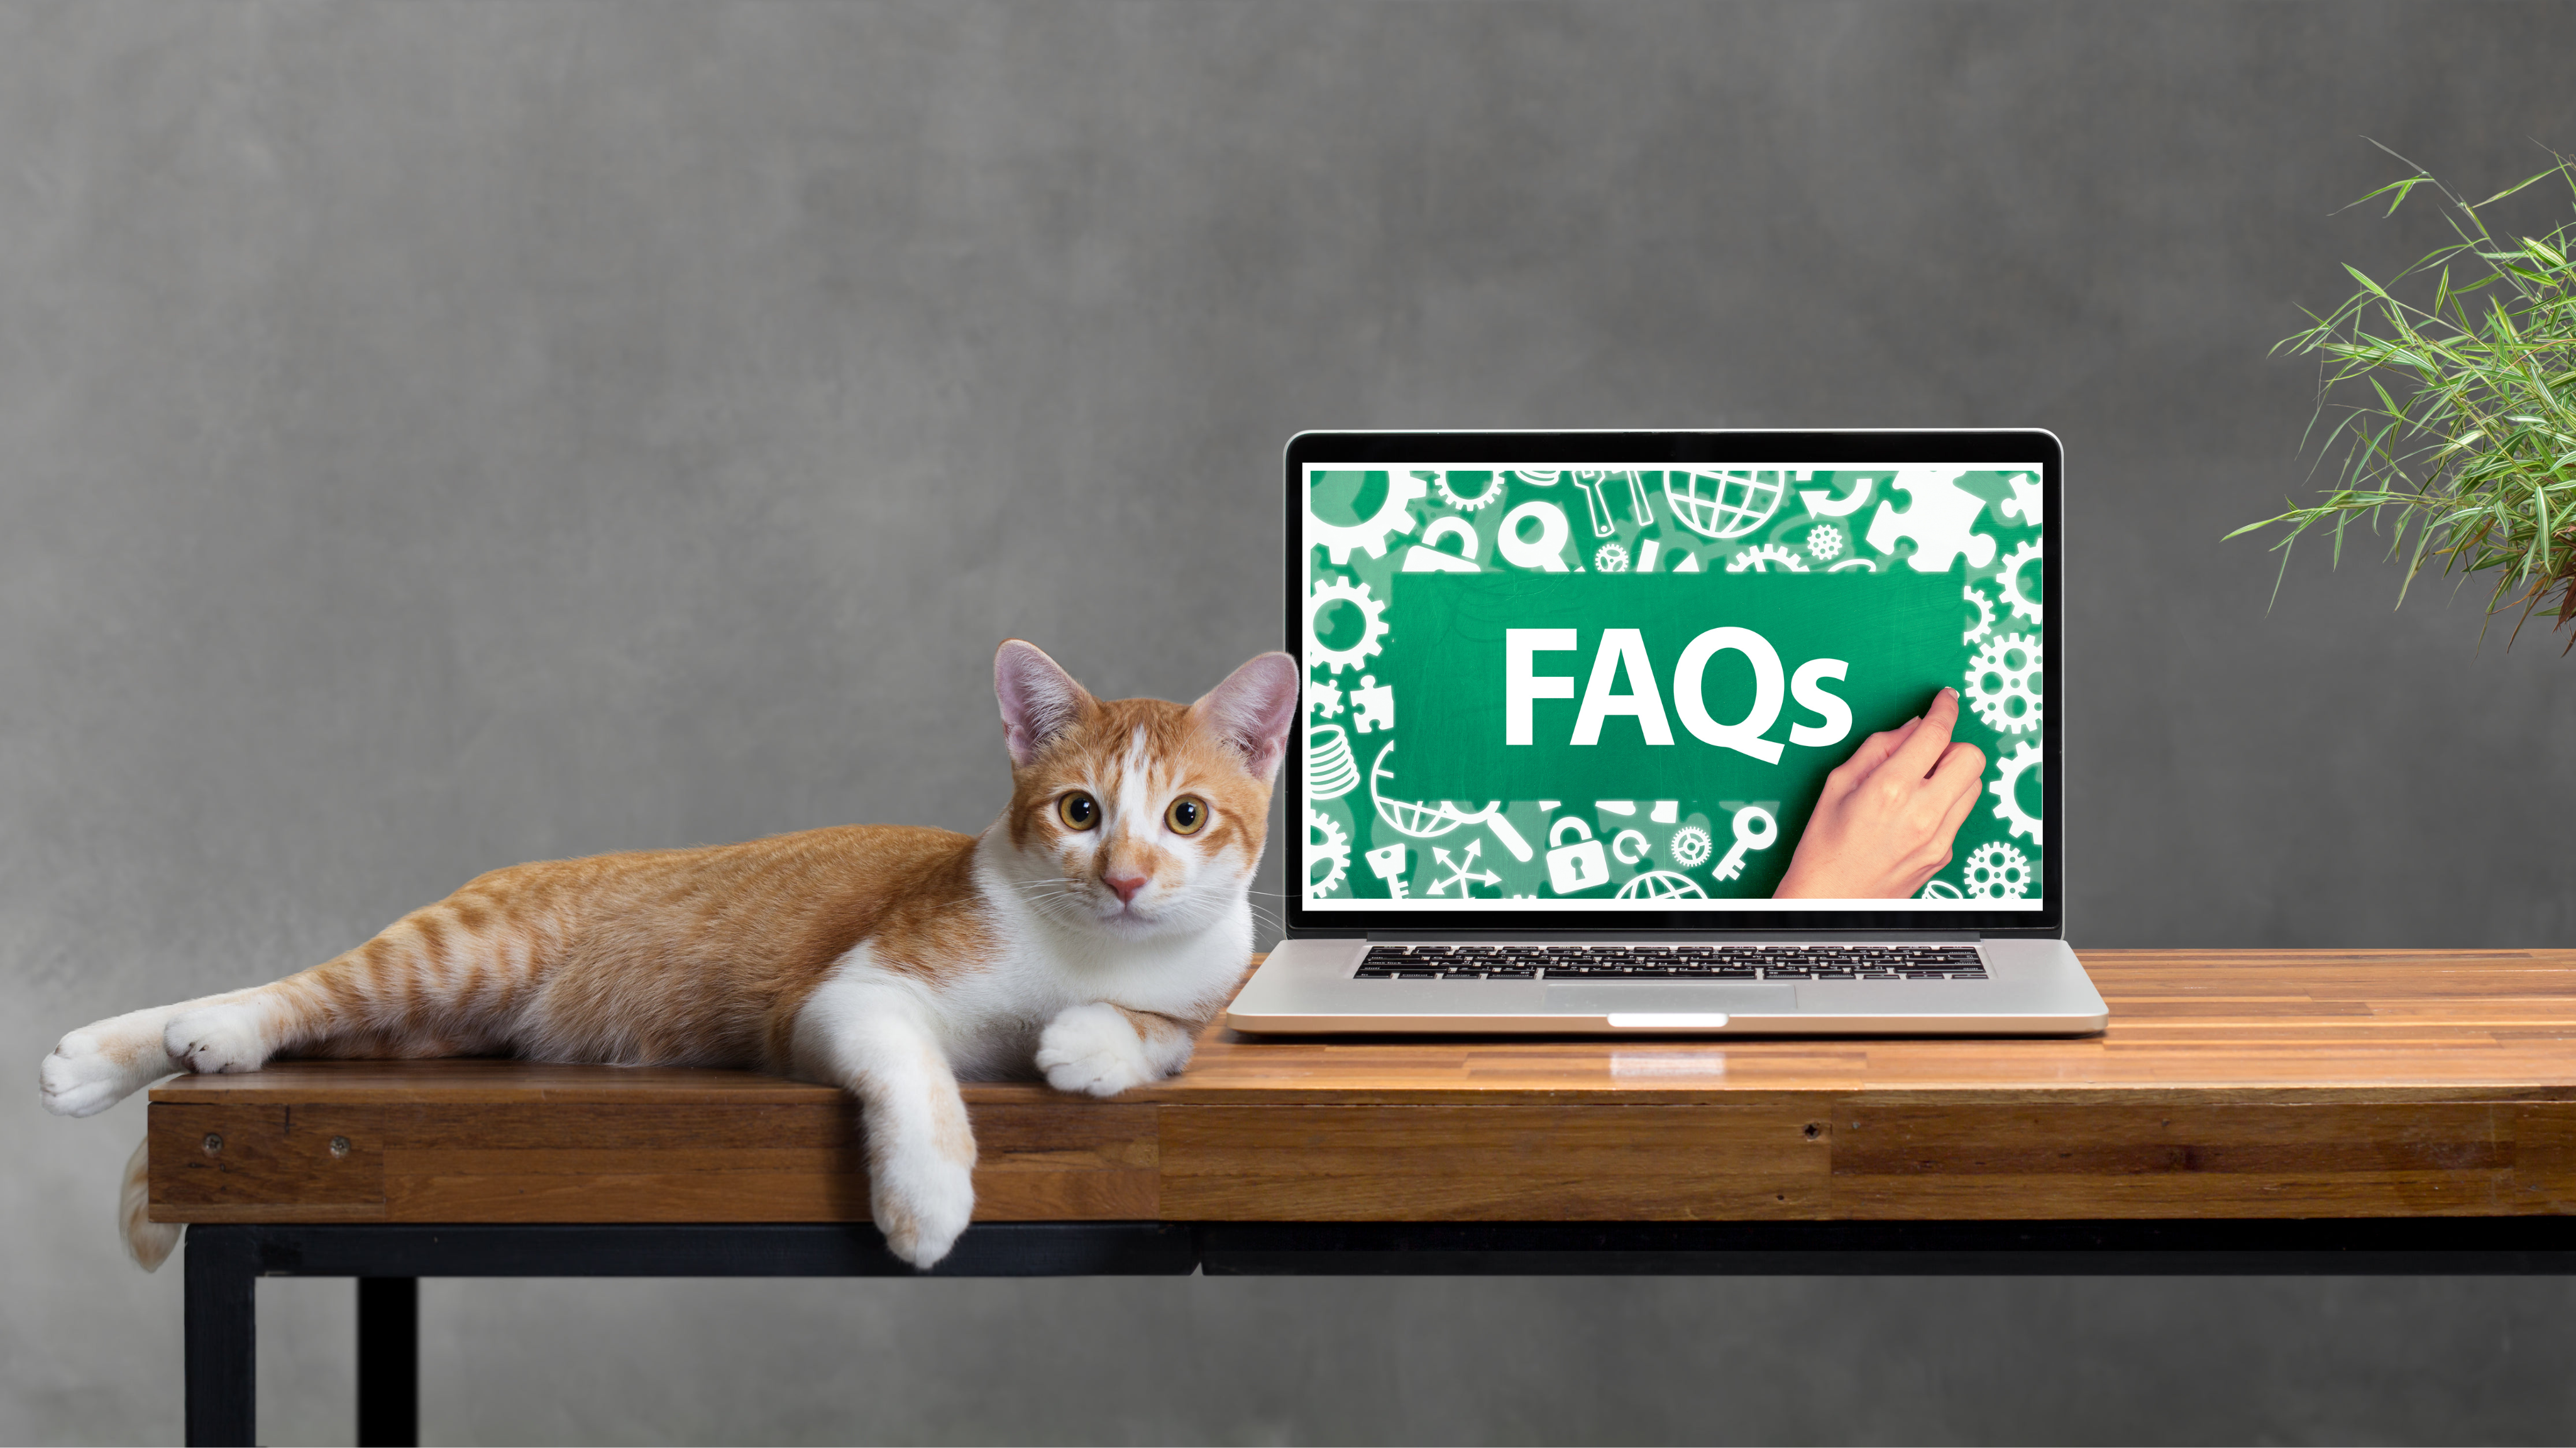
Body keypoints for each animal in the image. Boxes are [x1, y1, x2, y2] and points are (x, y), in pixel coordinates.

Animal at [32, 639, 1298, 1262]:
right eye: (1080, 811)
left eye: (1185, 817)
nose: (1124, 877)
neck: (1080, 952)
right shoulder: (848, 997)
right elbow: (919, 1077)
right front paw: (928, 1200)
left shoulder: (1207, 984)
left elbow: (1162, 1032)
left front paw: (1093, 1045)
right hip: (455, 956)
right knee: (295, 988)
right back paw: (140, 1042)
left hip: (427, 1026)